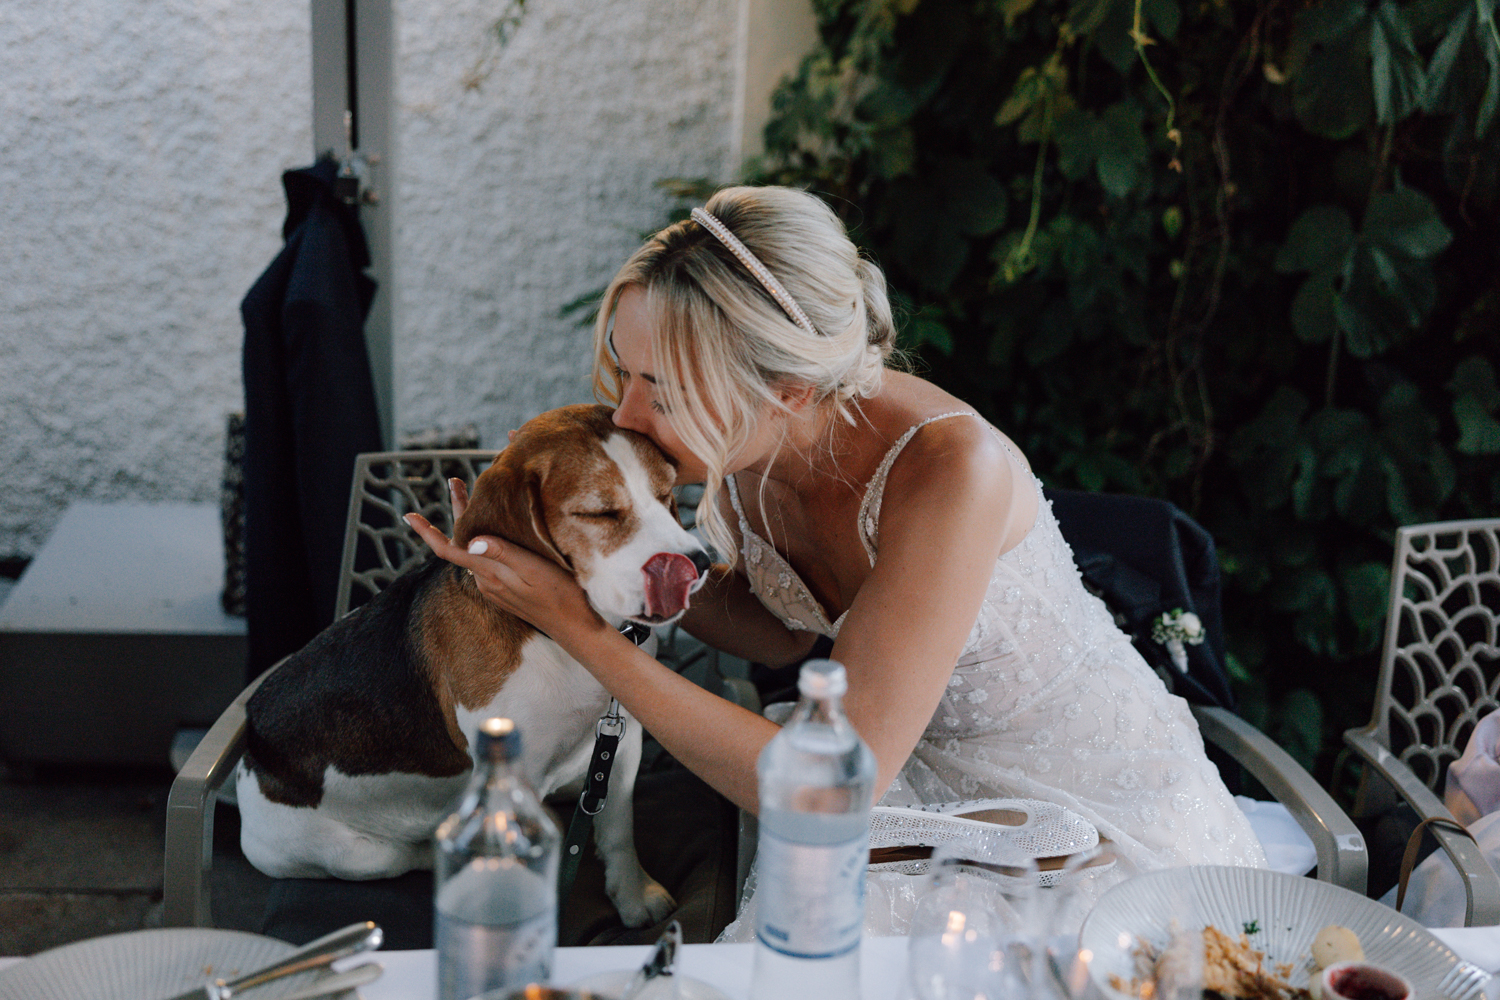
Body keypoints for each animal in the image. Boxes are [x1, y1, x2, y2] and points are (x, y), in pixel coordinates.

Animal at [235, 404, 711, 927]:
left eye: (666, 496)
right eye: (598, 512)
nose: (700, 563)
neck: (561, 642)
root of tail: (249, 758)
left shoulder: (623, 745)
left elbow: (619, 830)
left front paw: (633, 895)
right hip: (354, 856)